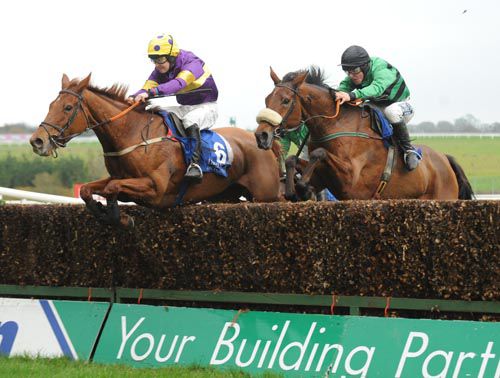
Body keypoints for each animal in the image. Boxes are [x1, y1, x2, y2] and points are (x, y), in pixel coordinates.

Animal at [30, 75, 282, 226]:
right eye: (51, 105)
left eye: (67, 107)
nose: (37, 141)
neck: (133, 134)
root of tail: (262, 141)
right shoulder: (119, 177)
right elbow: (86, 190)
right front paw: (102, 211)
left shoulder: (155, 188)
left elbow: (112, 189)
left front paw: (119, 218)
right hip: (229, 194)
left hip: (265, 194)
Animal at [256, 67, 474, 204]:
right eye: (267, 99)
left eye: (285, 100)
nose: (261, 136)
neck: (336, 124)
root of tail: (444, 159)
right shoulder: (323, 178)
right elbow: (293, 159)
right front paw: (295, 190)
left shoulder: (352, 182)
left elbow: (320, 153)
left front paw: (301, 185)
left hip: (442, 196)